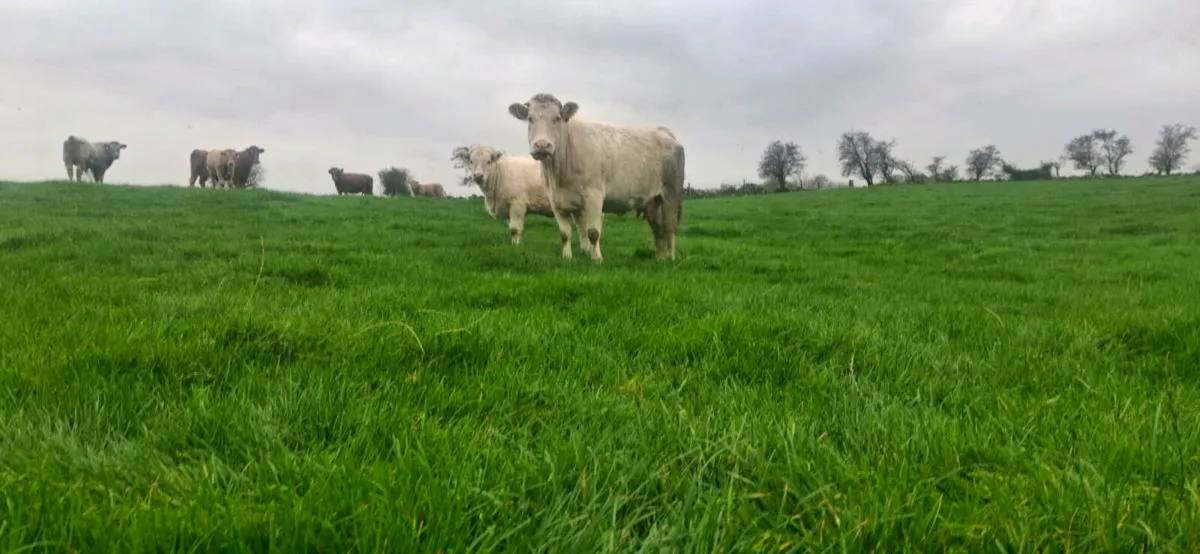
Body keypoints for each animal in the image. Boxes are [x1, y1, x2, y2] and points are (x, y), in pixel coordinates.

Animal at [507, 93, 685, 262]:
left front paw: (597, 259)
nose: (542, 145)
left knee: (670, 228)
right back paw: (660, 257)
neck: (558, 174)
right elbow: (565, 233)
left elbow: (593, 232)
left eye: (557, 118)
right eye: (530, 118)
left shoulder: (594, 195)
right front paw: (567, 257)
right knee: (658, 229)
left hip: (671, 194)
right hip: (652, 201)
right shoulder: (556, 201)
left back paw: (670, 258)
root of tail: (663, 131)